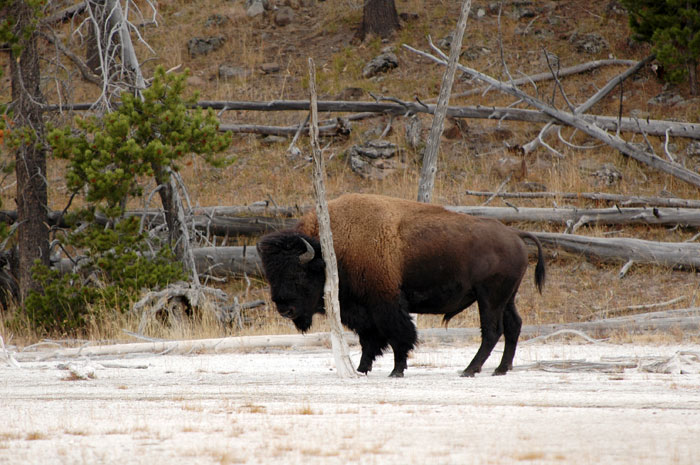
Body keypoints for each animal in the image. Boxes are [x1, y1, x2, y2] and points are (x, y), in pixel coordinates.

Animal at [258, 192, 548, 376]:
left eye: (298, 275)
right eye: (271, 276)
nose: (285, 309)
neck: (333, 252)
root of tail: (514, 234)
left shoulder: (385, 303)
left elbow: (398, 335)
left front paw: (396, 371)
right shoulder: (362, 310)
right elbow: (369, 340)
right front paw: (363, 369)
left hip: (489, 297)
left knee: (491, 331)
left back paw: (469, 370)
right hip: (506, 298)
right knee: (513, 326)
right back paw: (500, 369)